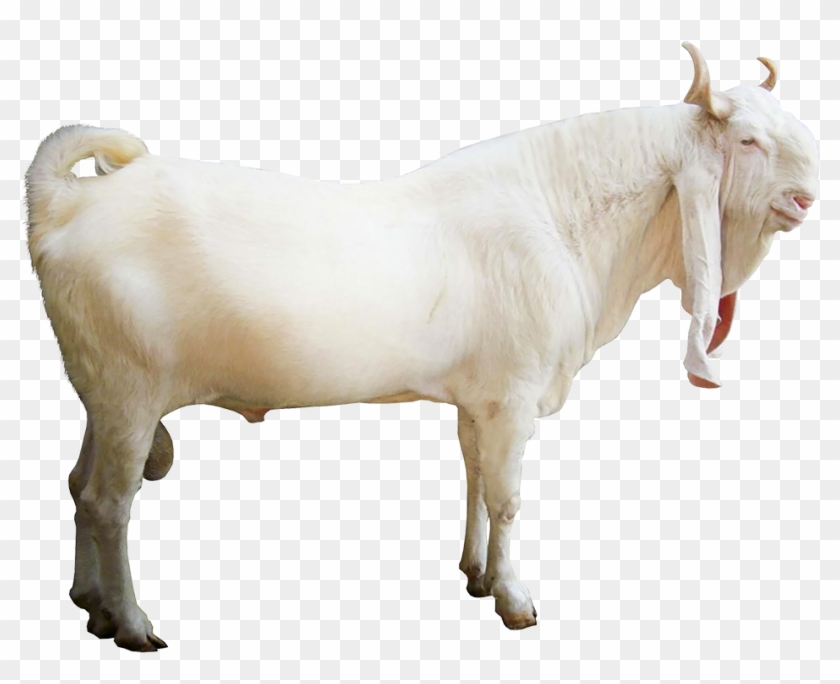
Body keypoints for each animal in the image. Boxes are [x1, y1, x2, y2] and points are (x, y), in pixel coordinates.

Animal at [25, 43, 819, 650]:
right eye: (748, 141)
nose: (810, 197)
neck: (561, 219)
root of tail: (66, 202)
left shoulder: (480, 398)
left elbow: (473, 478)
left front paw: (476, 574)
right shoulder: (515, 395)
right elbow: (506, 498)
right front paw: (515, 599)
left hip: (102, 397)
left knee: (78, 486)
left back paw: (90, 604)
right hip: (131, 394)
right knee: (109, 503)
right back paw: (132, 623)